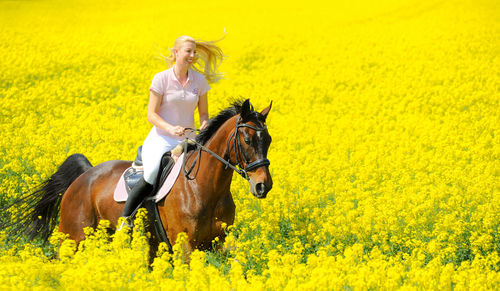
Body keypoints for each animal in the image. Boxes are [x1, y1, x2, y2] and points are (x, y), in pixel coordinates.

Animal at [6, 100, 274, 256]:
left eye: (269, 140)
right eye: (247, 139)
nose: (263, 186)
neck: (204, 187)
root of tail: (83, 177)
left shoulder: (219, 241)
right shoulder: (184, 243)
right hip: (73, 238)